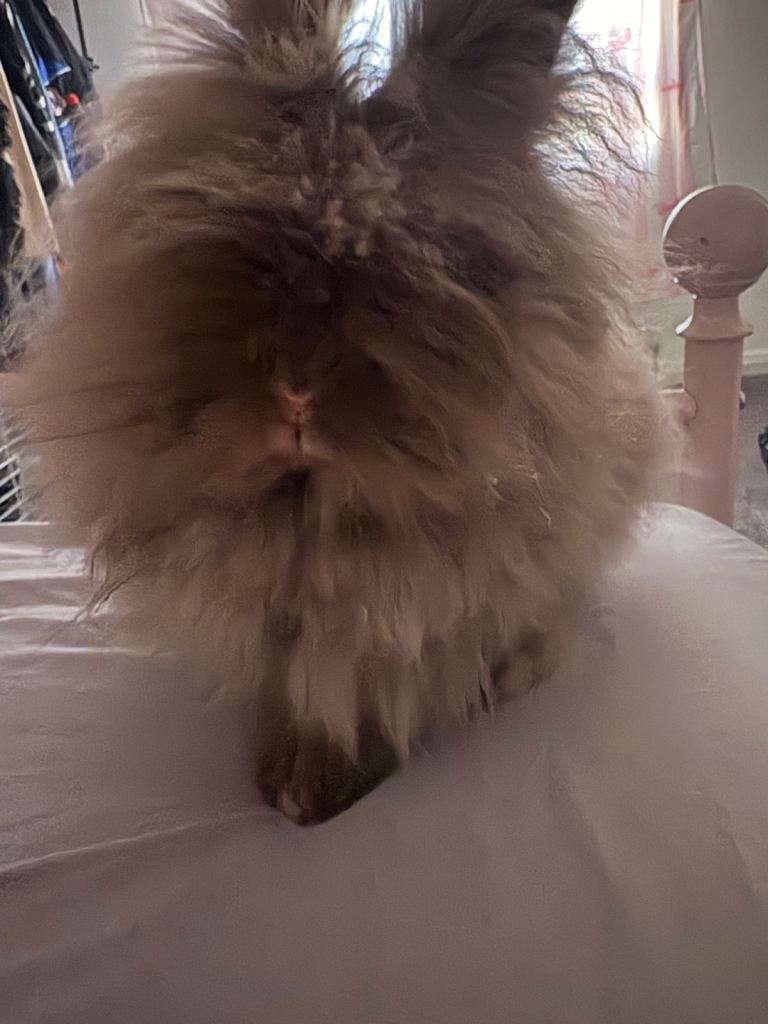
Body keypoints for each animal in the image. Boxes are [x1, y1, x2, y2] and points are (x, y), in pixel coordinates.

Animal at [11, 0, 660, 823]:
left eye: (406, 275)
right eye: (245, 253)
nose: (295, 394)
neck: (311, 512)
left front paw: (316, 788)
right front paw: (287, 779)